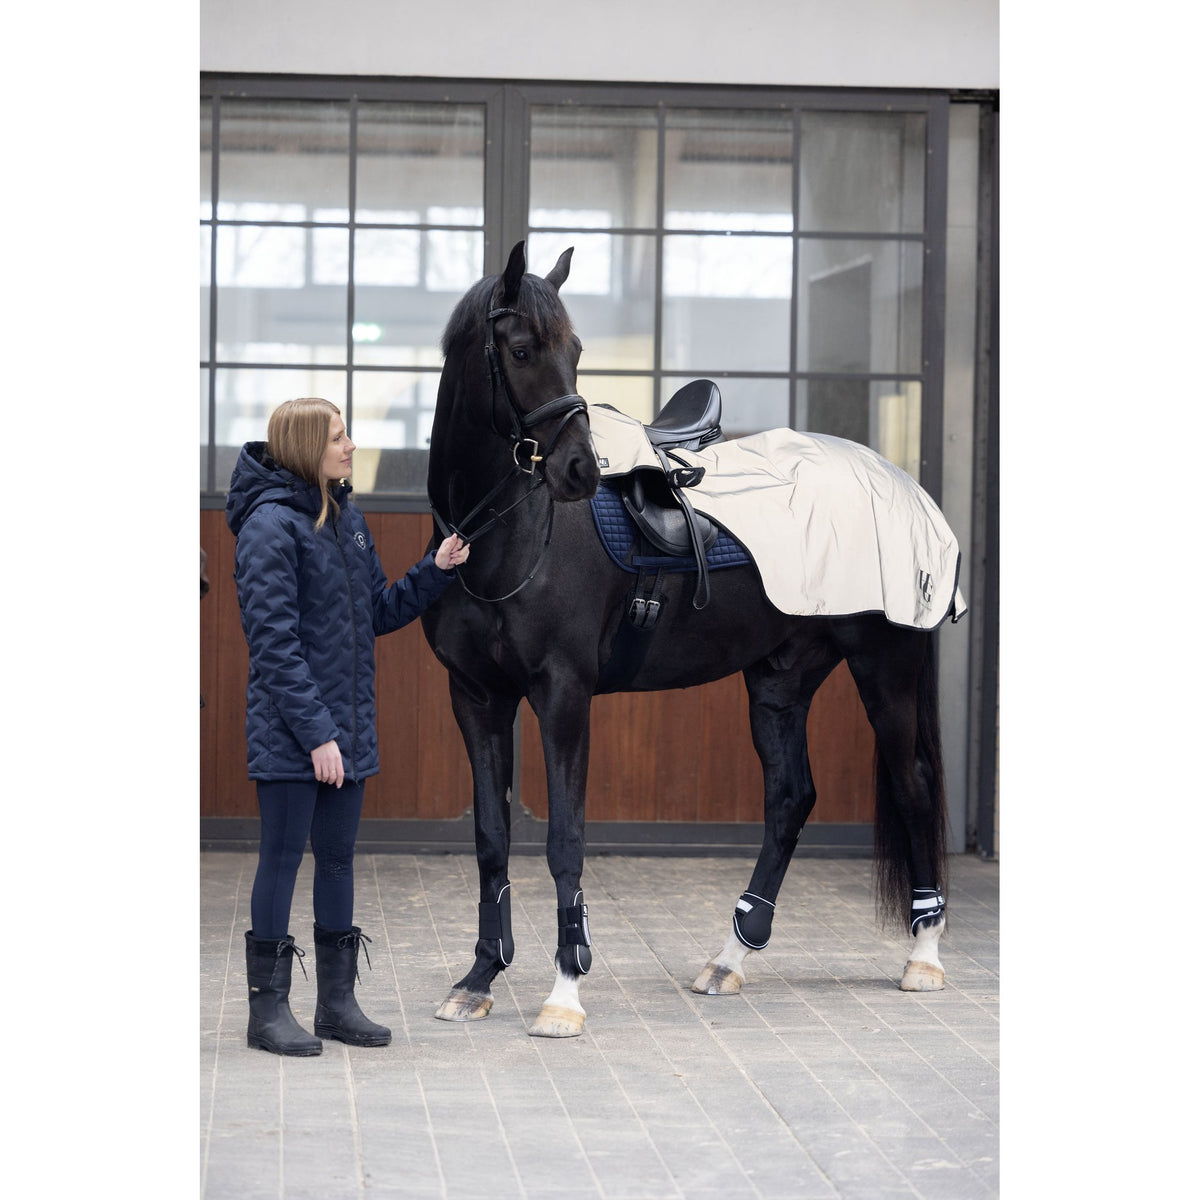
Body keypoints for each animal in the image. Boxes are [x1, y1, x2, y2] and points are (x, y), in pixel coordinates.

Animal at [420, 241, 954, 1037]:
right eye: (520, 349)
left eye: (575, 351)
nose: (578, 470)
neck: (504, 535)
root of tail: (902, 483)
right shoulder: (476, 698)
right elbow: (490, 840)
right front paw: (479, 978)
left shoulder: (563, 696)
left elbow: (565, 838)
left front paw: (564, 993)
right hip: (779, 679)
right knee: (790, 798)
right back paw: (730, 959)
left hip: (884, 667)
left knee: (911, 784)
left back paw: (924, 956)